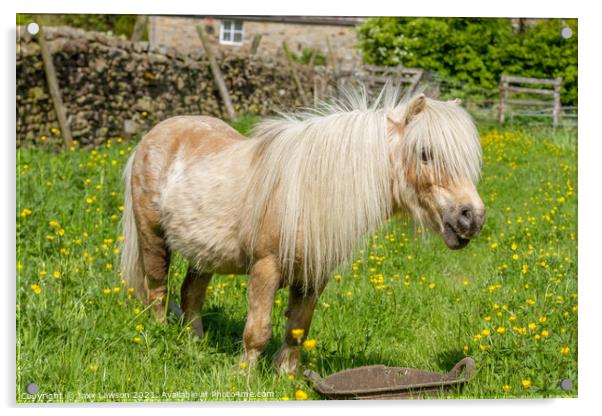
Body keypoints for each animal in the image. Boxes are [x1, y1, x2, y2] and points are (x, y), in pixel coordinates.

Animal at [120, 88, 482, 374]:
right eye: (425, 154)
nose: (472, 218)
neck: (308, 193)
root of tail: (154, 135)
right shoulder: (265, 268)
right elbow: (258, 330)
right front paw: (244, 379)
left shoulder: (313, 276)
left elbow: (297, 328)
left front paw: (287, 377)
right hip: (153, 238)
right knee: (157, 291)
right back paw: (160, 337)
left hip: (203, 255)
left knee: (190, 296)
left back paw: (194, 343)